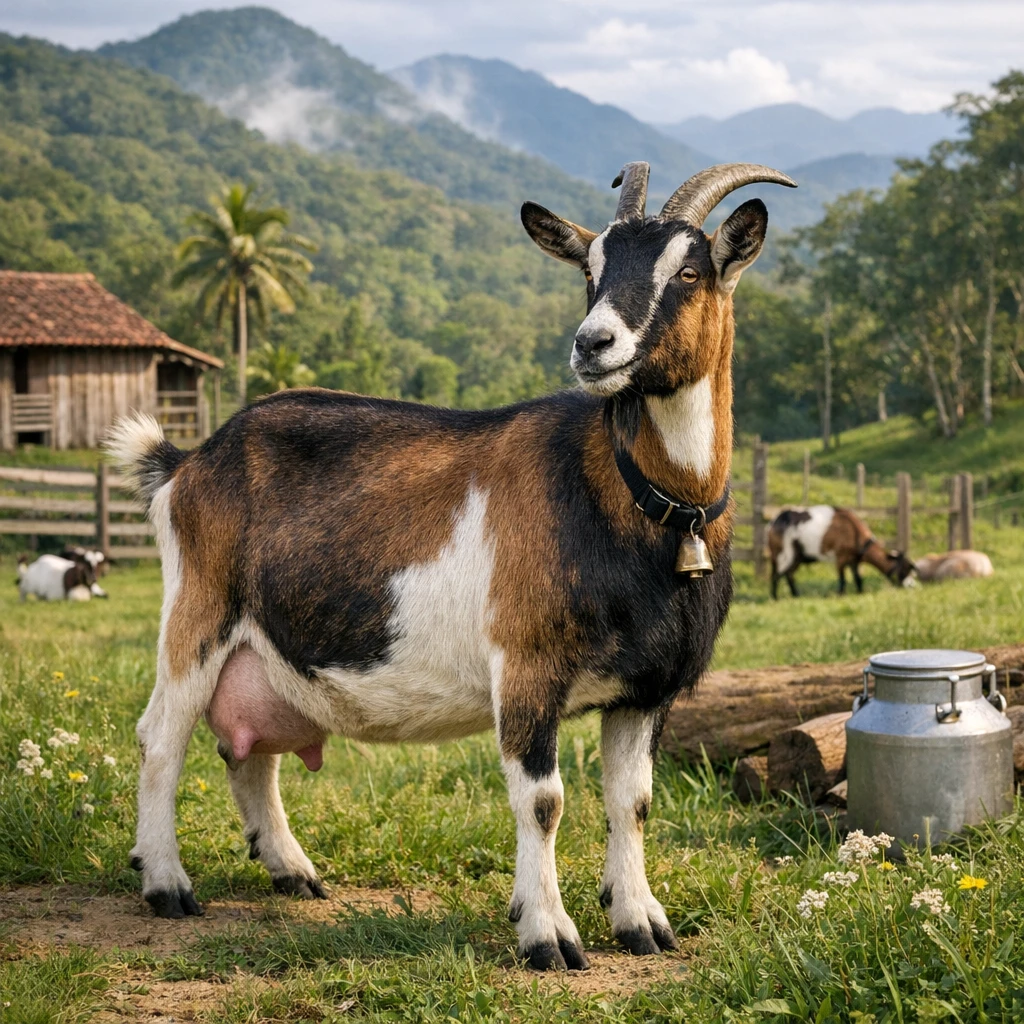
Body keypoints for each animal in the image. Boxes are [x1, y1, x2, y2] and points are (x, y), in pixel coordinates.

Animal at [107, 161, 795, 970]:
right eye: (589, 271)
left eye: (689, 270)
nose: (593, 344)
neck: (635, 496)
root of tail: (188, 461)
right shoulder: (527, 664)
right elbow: (543, 801)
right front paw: (547, 935)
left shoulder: (646, 688)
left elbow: (633, 802)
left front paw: (641, 924)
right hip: (198, 610)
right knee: (161, 737)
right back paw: (166, 884)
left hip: (266, 647)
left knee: (249, 750)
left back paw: (293, 871)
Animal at [769, 506, 915, 598]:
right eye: (904, 570)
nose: (910, 585)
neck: (855, 532)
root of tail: (774, 522)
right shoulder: (840, 557)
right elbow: (842, 579)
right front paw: (840, 595)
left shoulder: (853, 560)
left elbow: (857, 578)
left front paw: (860, 592)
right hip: (784, 553)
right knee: (777, 575)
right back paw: (775, 598)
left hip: (797, 556)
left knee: (789, 574)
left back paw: (796, 596)